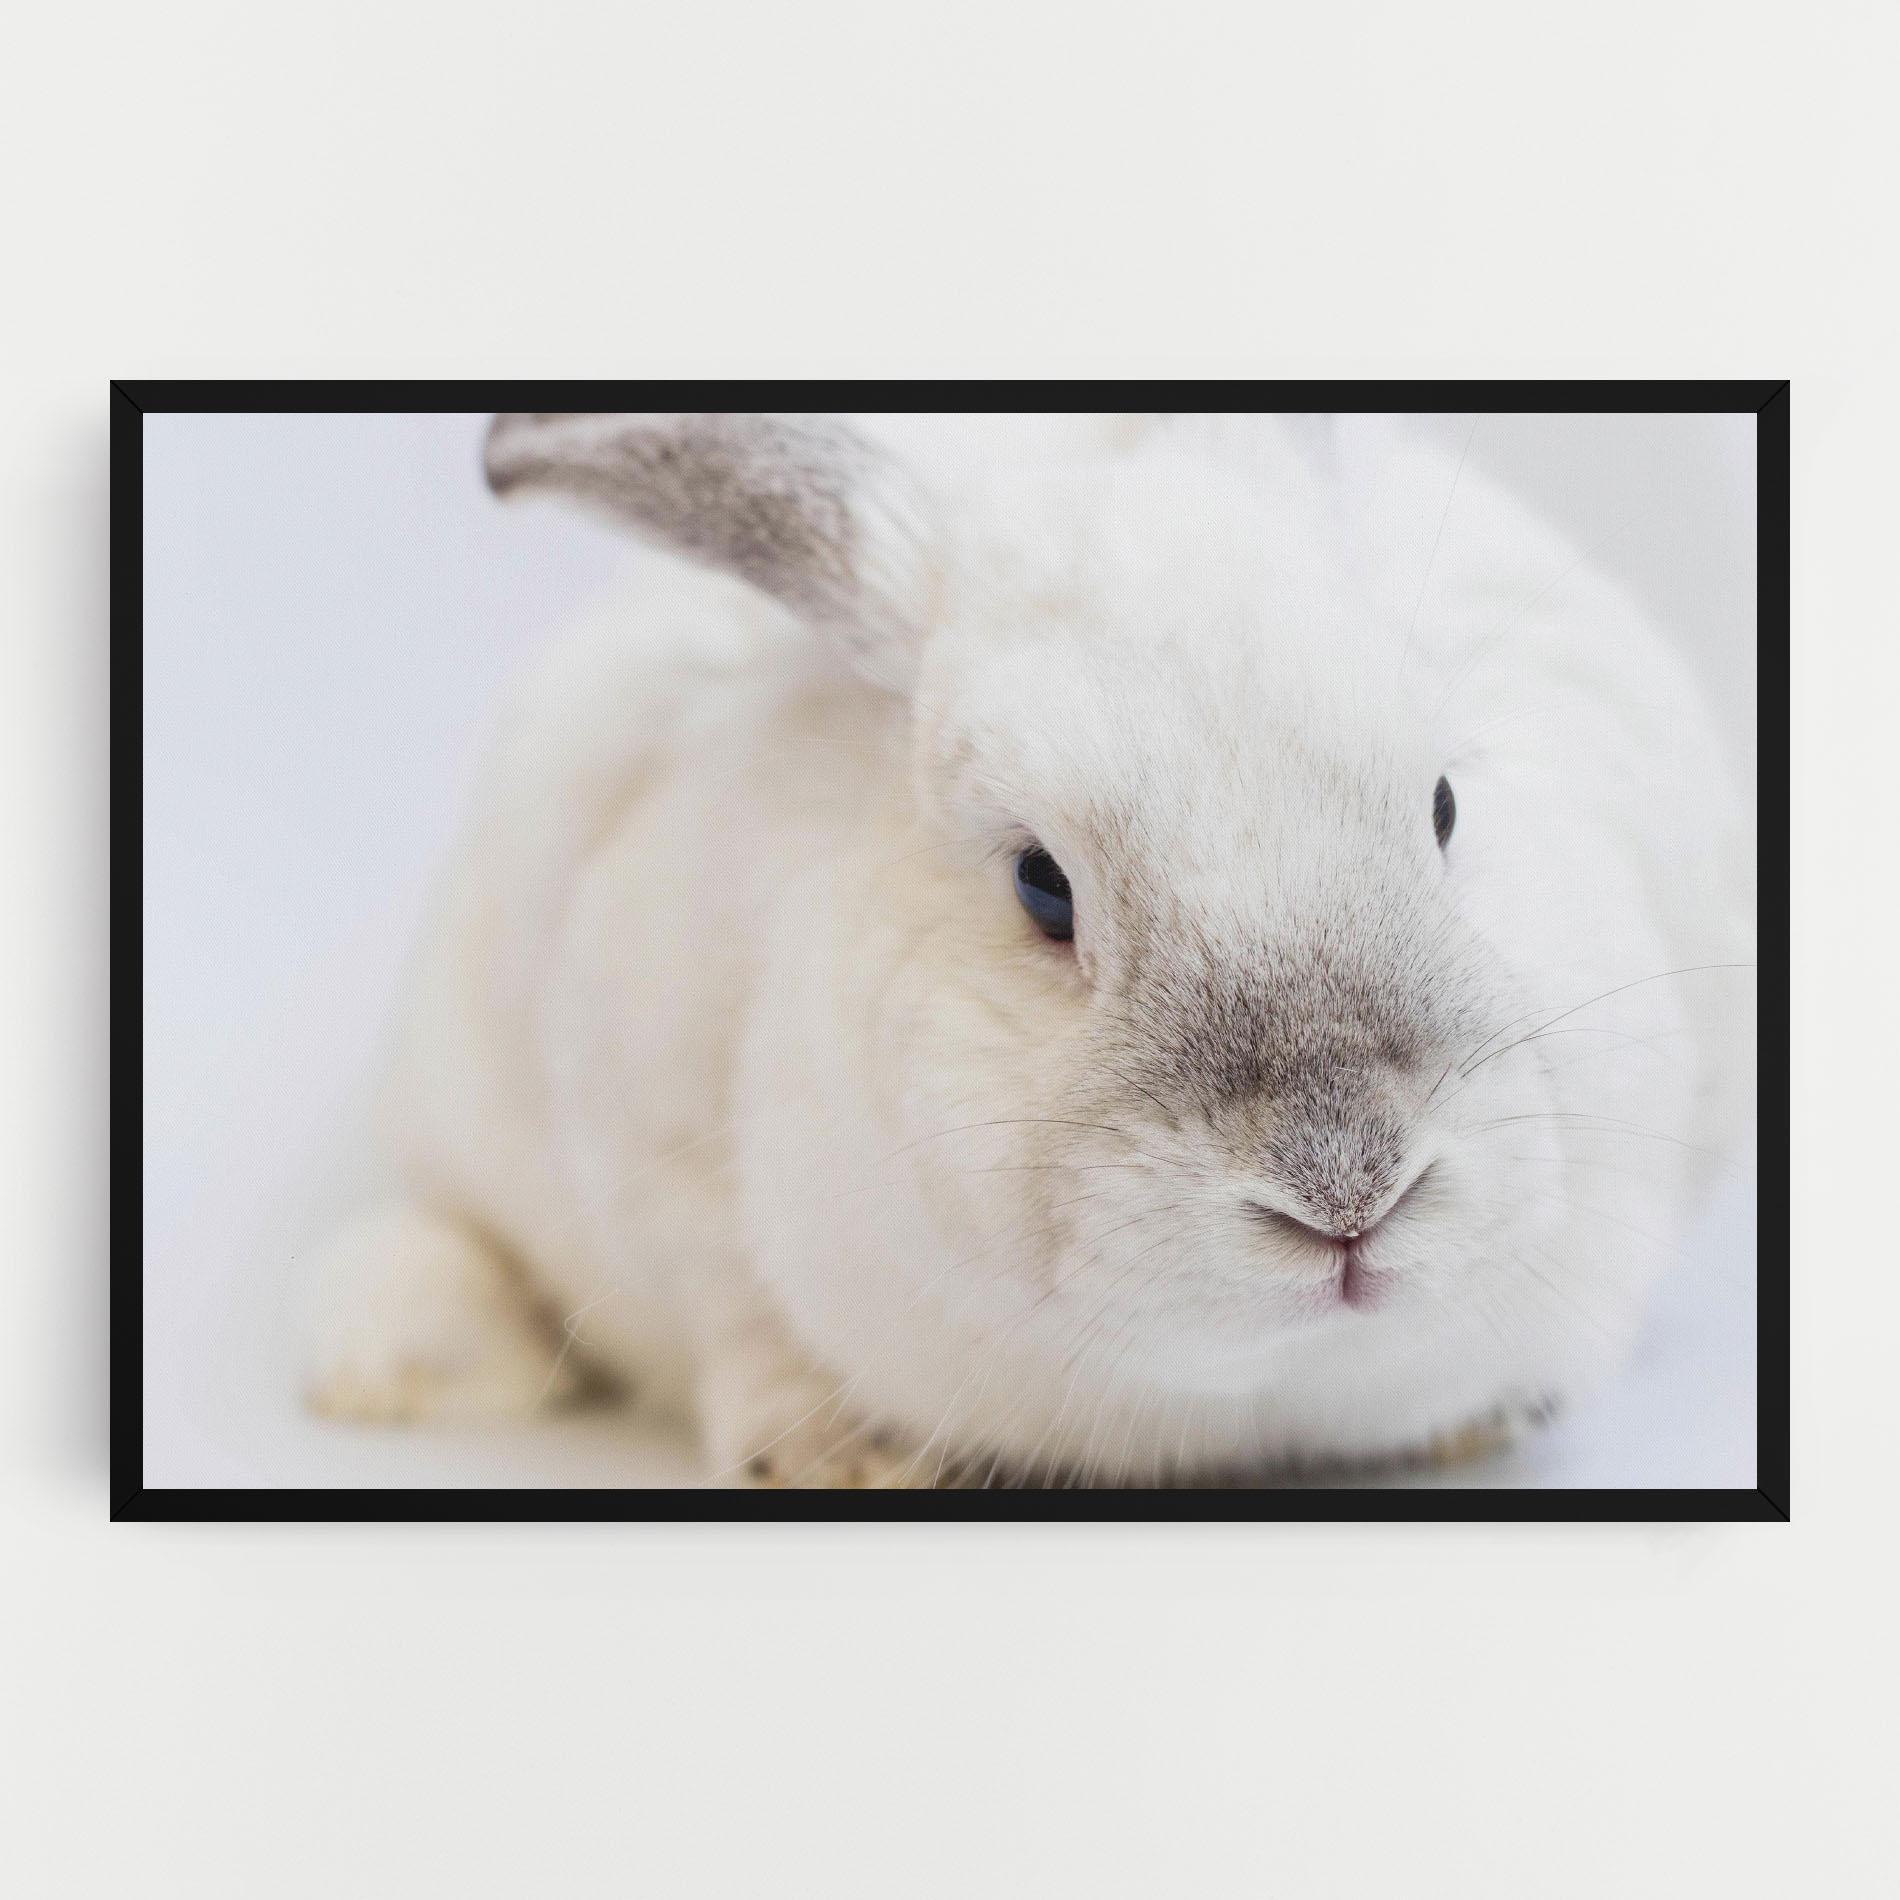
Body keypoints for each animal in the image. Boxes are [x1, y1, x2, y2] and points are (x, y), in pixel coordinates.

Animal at [303, 411, 1754, 1487]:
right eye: (1041, 886)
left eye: (1446, 804)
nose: (1348, 1192)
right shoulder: (654, 1148)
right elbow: (738, 1321)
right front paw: (836, 1455)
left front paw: (1480, 1420)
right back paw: (385, 1364)